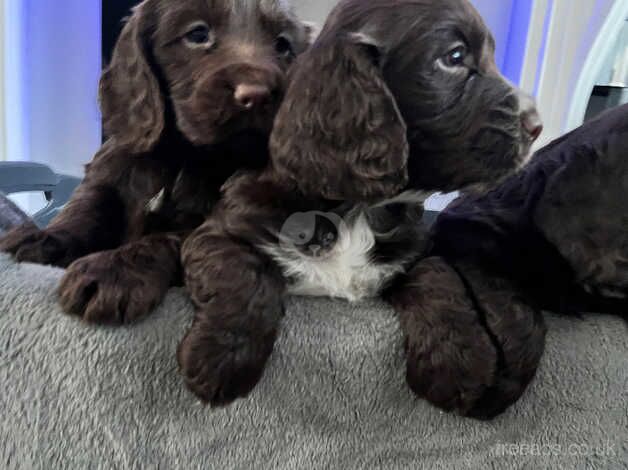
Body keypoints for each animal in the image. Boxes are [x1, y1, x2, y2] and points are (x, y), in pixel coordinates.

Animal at [0, 0, 312, 324]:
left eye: (283, 45)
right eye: (197, 34)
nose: (257, 95)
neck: (182, 153)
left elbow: (171, 239)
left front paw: (114, 270)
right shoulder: (110, 171)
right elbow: (87, 208)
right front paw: (46, 237)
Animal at [178, 0, 544, 416]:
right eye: (454, 57)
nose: (537, 126)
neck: (358, 209)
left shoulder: (416, 249)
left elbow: (439, 278)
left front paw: (459, 361)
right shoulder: (221, 228)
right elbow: (243, 276)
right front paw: (220, 358)